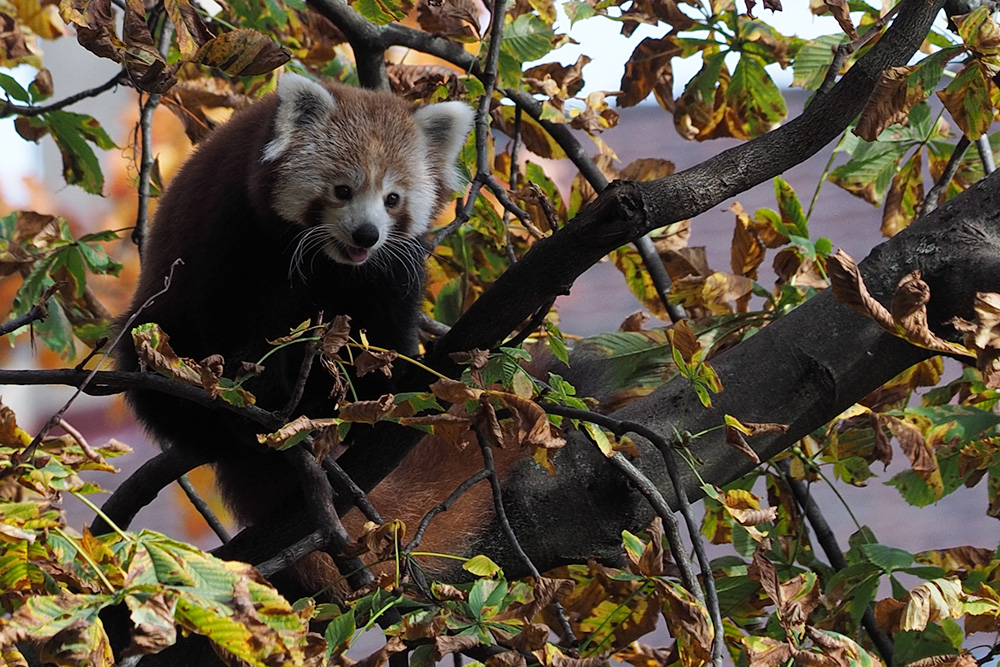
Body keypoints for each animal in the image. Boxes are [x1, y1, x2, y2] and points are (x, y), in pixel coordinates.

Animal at [114, 75, 476, 568]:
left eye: (392, 199)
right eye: (342, 190)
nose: (367, 234)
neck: (329, 261)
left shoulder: (387, 269)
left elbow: (383, 327)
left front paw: (386, 389)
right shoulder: (235, 236)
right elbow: (237, 333)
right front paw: (258, 401)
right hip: (153, 329)